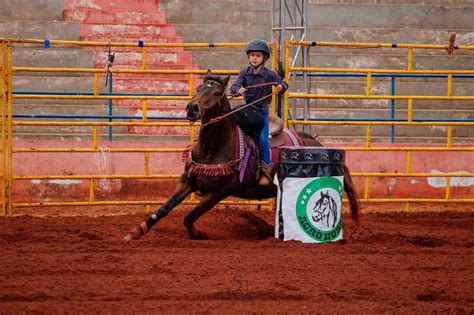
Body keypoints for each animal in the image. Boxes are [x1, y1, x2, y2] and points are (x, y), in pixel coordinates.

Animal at [125, 71, 360, 241]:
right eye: (199, 88)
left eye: (217, 93)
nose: (192, 108)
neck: (213, 149)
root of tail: (319, 144)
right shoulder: (186, 182)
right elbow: (164, 209)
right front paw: (135, 232)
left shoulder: (218, 193)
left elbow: (188, 217)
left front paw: (199, 234)